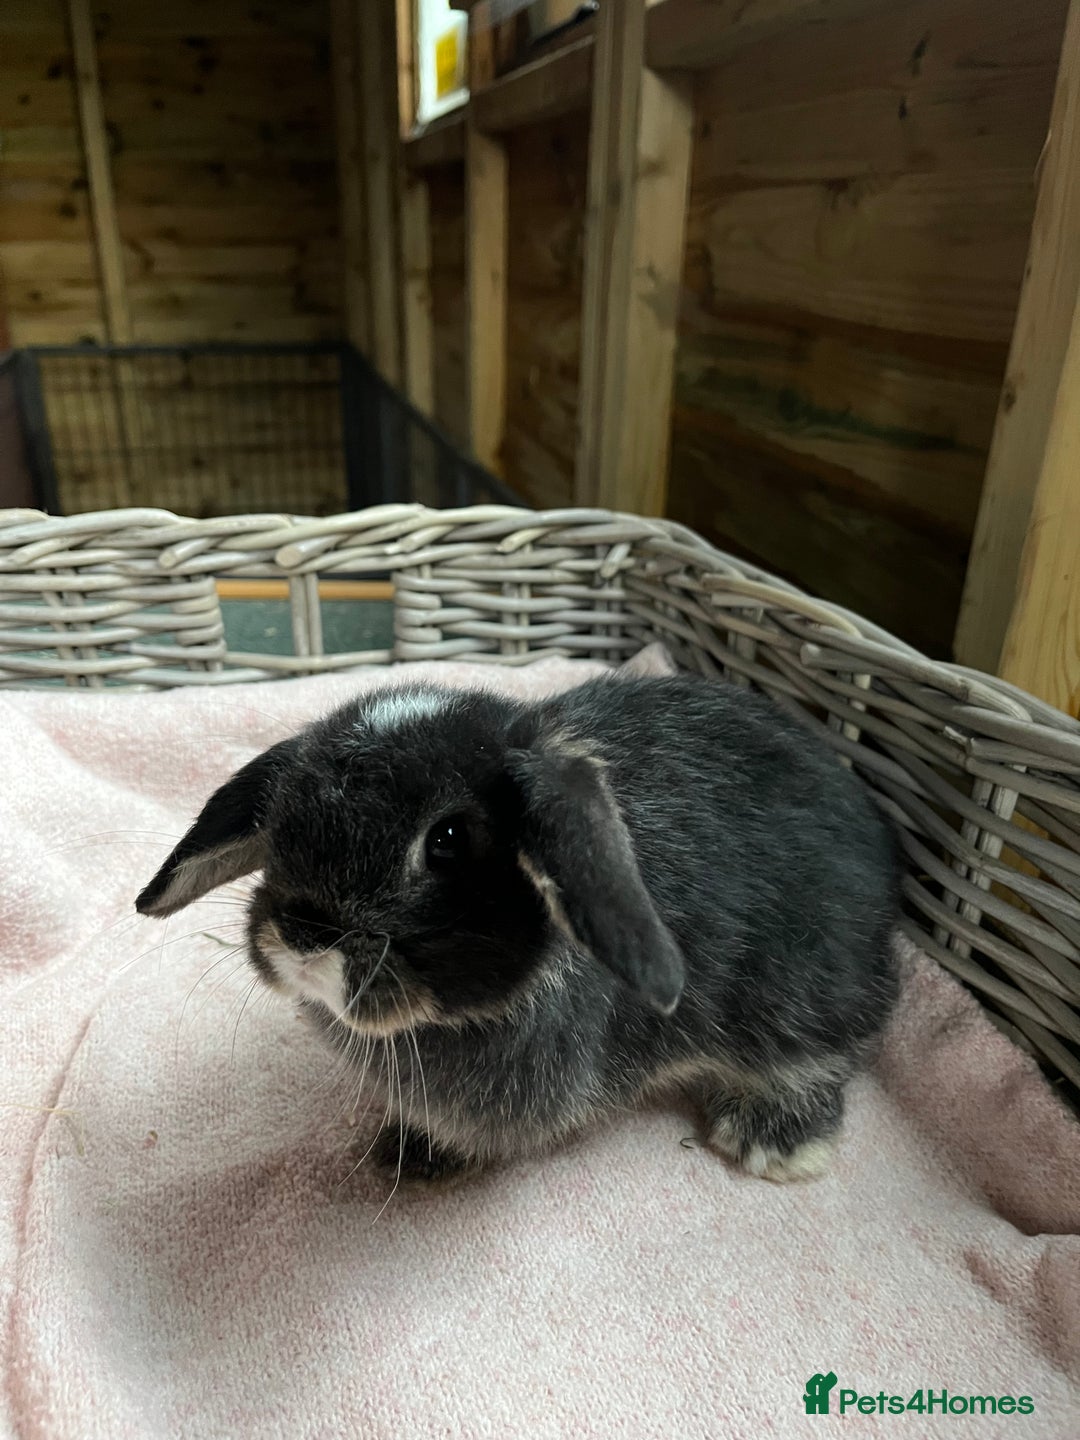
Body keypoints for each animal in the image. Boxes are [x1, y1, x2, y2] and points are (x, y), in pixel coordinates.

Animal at [136, 668, 901, 1185]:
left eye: (447, 840)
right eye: (282, 814)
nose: (302, 935)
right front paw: (410, 1153)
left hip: (797, 993)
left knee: (823, 1054)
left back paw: (770, 1143)